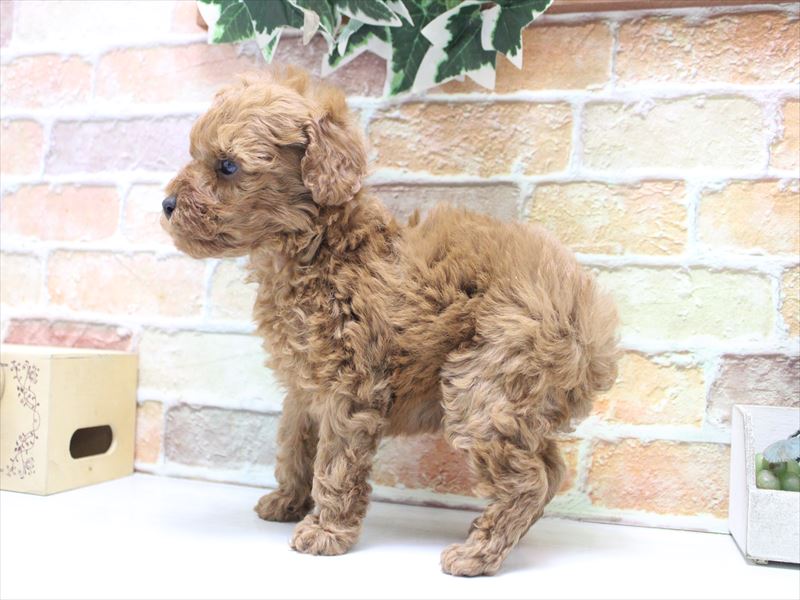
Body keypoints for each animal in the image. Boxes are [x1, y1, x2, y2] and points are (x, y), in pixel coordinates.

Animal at [161, 67, 619, 576]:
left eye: (227, 167)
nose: (167, 204)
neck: (316, 247)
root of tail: (585, 317)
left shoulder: (349, 386)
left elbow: (335, 463)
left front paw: (325, 532)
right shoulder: (303, 388)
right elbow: (294, 444)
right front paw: (287, 501)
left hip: (485, 389)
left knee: (528, 481)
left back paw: (477, 554)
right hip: (521, 403)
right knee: (551, 468)